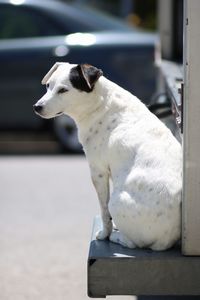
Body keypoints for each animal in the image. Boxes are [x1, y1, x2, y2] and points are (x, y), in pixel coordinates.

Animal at [33, 62, 182, 250]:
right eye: (48, 86)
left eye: (63, 90)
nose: (37, 107)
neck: (99, 104)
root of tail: (166, 241)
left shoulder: (98, 172)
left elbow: (104, 211)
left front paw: (105, 233)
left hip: (117, 201)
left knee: (134, 243)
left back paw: (116, 237)